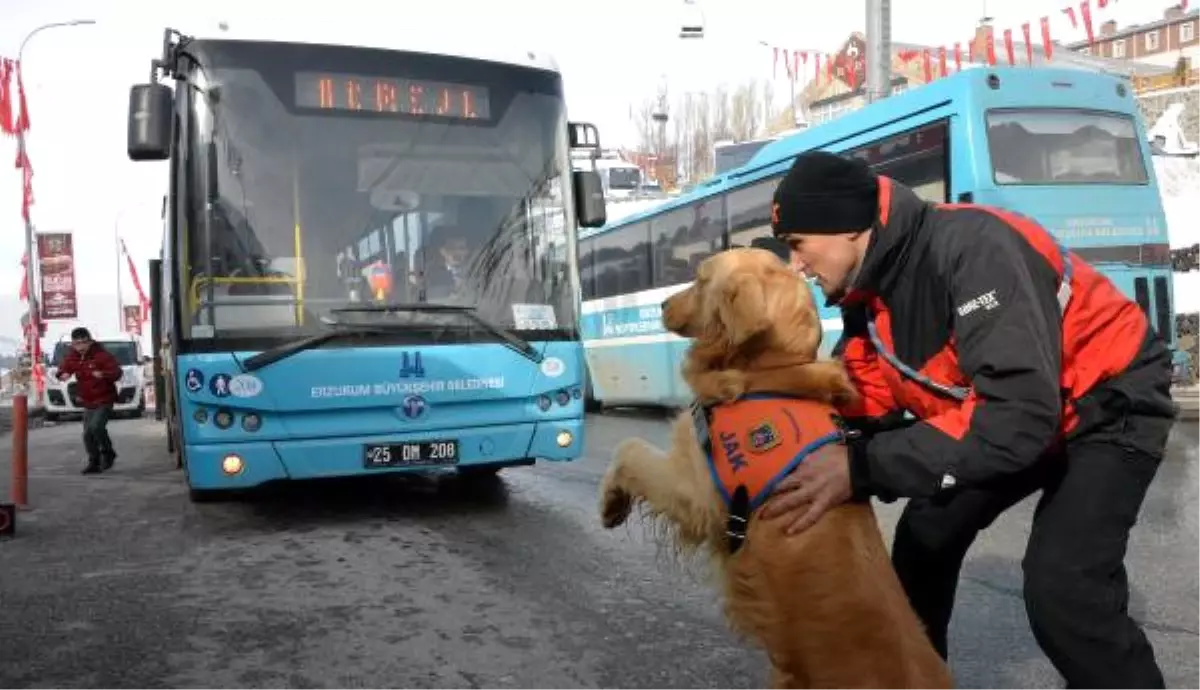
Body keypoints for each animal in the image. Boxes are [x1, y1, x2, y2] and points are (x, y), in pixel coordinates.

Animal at [595, 248, 950, 690]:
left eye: (700, 279)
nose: (660, 305)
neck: (768, 373)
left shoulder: (698, 494)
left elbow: (629, 448)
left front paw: (611, 503)